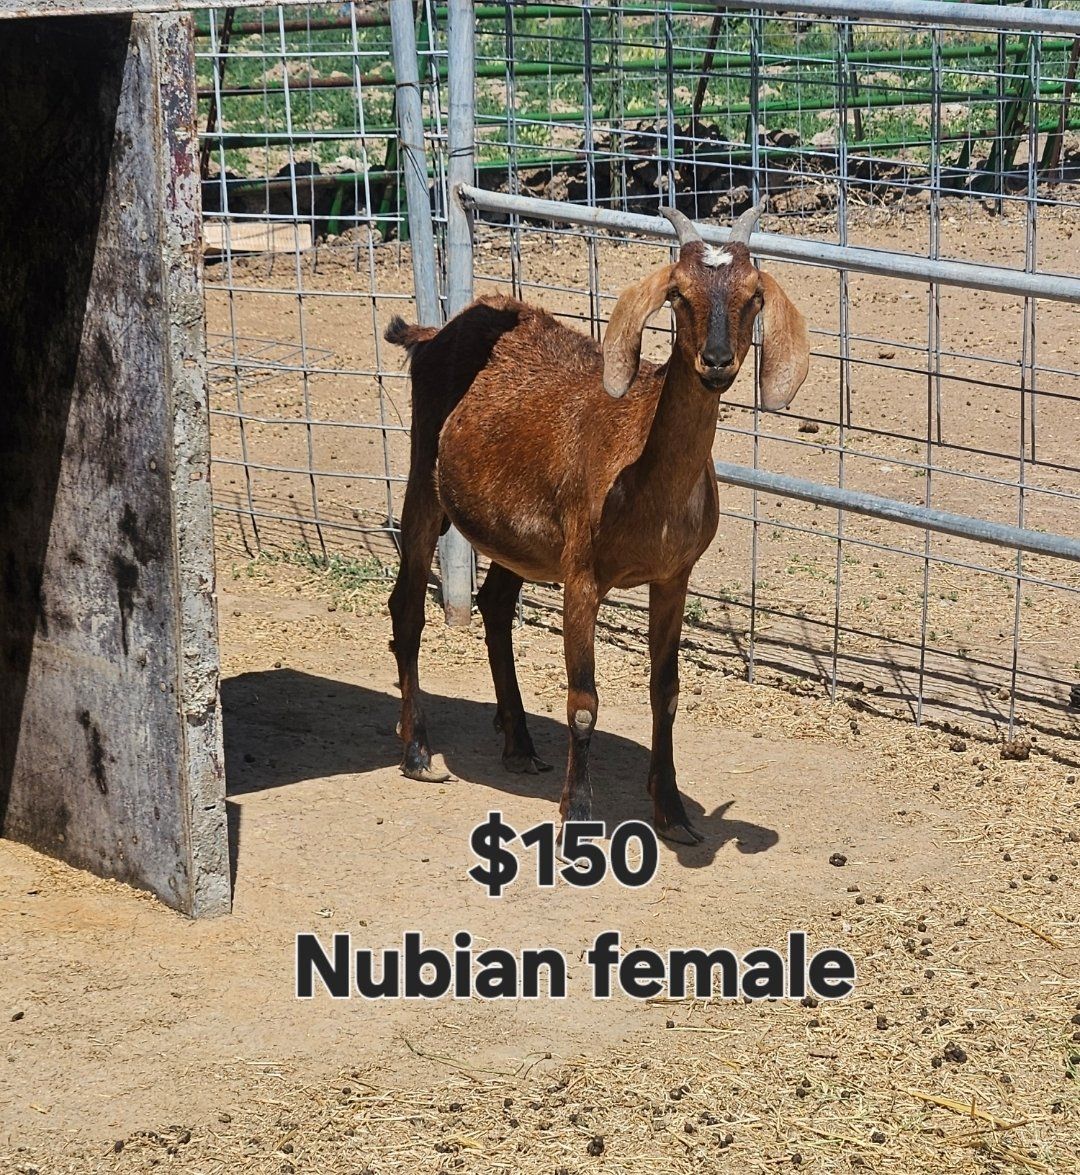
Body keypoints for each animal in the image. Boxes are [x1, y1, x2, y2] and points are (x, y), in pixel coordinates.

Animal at [385, 203, 809, 843]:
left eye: (754, 295)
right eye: (678, 294)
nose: (716, 362)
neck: (645, 479)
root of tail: (435, 334)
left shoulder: (673, 578)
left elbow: (667, 692)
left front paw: (674, 813)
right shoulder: (582, 576)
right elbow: (583, 701)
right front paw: (579, 813)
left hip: (519, 537)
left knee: (495, 603)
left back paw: (519, 744)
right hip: (423, 477)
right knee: (407, 605)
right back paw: (418, 753)